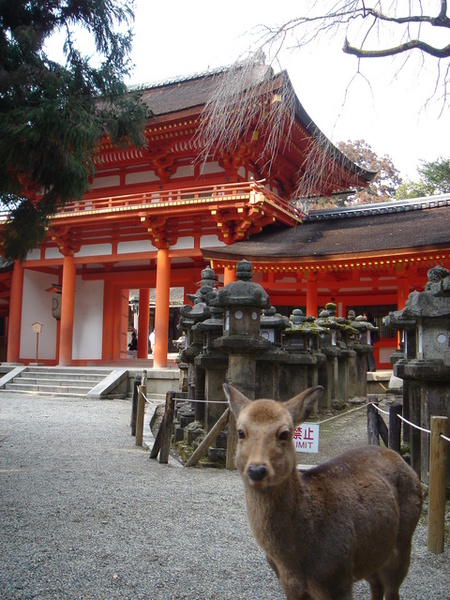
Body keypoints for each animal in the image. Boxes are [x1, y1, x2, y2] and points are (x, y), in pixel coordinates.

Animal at [223, 384, 424, 600]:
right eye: (241, 432)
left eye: (285, 433)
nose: (257, 470)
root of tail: (401, 459)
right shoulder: (290, 587)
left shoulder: (337, 580)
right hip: (372, 552)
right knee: (376, 584)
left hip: (403, 542)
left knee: (392, 587)